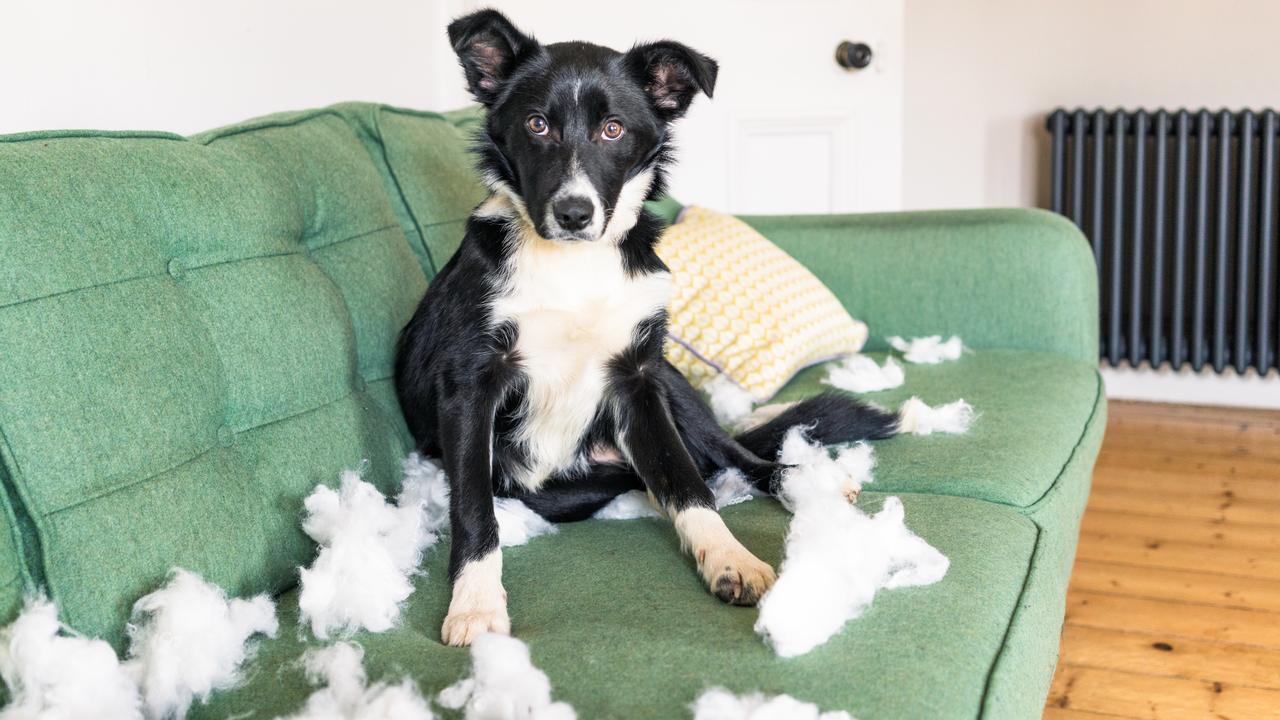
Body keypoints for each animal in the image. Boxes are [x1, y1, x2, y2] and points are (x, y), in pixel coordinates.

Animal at [391, 7, 901, 645]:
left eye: (613, 130)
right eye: (537, 124)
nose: (574, 214)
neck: (575, 266)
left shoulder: (637, 379)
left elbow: (686, 483)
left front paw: (729, 558)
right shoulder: (469, 387)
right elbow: (473, 507)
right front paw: (476, 603)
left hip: (671, 381)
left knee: (731, 457)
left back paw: (806, 482)